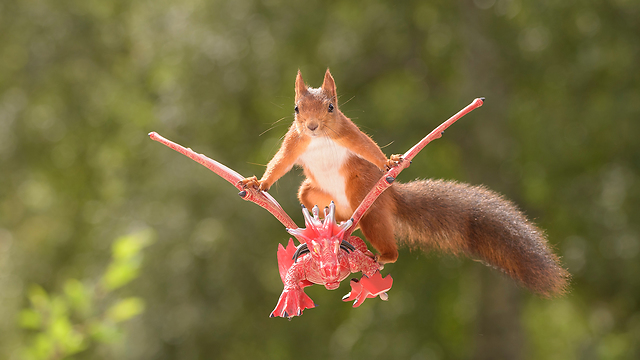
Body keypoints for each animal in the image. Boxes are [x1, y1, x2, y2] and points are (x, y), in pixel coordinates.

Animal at [241, 69, 568, 296]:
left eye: (331, 107)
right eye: (297, 108)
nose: (311, 126)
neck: (319, 140)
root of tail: (389, 196)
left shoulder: (348, 133)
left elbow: (368, 148)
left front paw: (390, 161)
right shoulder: (294, 143)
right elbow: (279, 164)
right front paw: (258, 183)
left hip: (364, 197)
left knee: (386, 243)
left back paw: (378, 251)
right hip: (312, 193)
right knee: (320, 202)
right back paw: (335, 227)